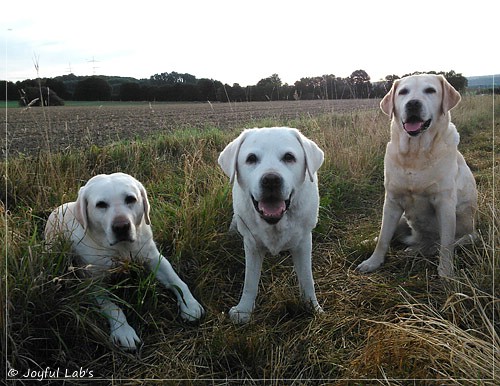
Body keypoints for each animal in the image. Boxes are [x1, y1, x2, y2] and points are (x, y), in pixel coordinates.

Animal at [45, 173, 204, 350]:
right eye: (101, 205)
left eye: (130, 199)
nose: (121, 226)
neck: (122, 249)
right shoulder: (93, 284)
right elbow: (113, 307)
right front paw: (123, 331)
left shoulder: (154, 258)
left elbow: (177, 281)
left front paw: (189, 304)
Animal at [219, 126, 324, 322]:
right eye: (251, 158)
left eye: (289, 157)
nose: (271, 180)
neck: (275, 223)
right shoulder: (251, 244)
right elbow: (250, 281)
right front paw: (244, 310)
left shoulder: (304, 242)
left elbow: (307, 279)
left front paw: (313, 308)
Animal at [356, 73, 476, 278]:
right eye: (403, 92)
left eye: (430, 90)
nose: (412, 104)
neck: (415, 153)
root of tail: (417, 239)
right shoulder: (392, 201)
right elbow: (383, 237)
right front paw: (373, 262)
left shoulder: (445, 203)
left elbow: (446, 244)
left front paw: (446, 272)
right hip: (403, 219)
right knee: (389, 235)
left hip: (469, 235)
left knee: (442, 244)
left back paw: (416, 250)